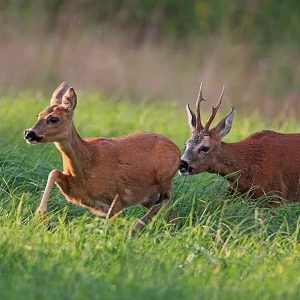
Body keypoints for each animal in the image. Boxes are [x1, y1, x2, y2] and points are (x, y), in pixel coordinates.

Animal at [24, 82, 180, 227]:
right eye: (38, 115)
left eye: (53, 118)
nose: (29, 133)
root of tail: (177, 151)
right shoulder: (74, 189)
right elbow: (54, 172)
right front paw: (40, 215)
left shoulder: (117, 197)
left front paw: (40, 215)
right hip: (150, 196)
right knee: (170, 209)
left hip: (163, 180)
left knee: (167, 200)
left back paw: (137, 225)